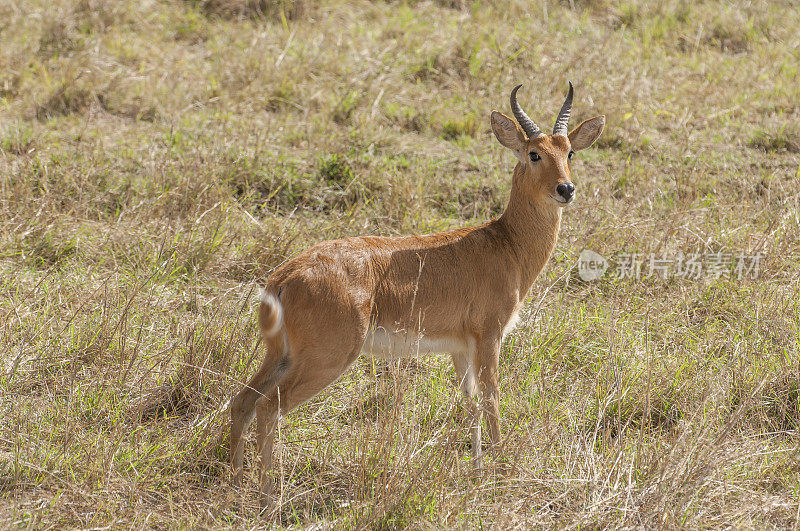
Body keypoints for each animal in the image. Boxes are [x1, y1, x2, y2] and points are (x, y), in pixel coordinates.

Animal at [228, 83, 604, 508]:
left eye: (569, 151)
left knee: (241, 402)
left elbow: (470, 404)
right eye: (534, 152)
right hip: (327, 359)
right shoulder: (489, 337)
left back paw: (234, 484)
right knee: (267, 408)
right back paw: (267, 497)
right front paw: (502, 471)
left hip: (281, 356)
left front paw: (477, 472)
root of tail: (283, 277)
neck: (505, 243)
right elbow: (492, 398)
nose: (565, 189)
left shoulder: (460, 348)